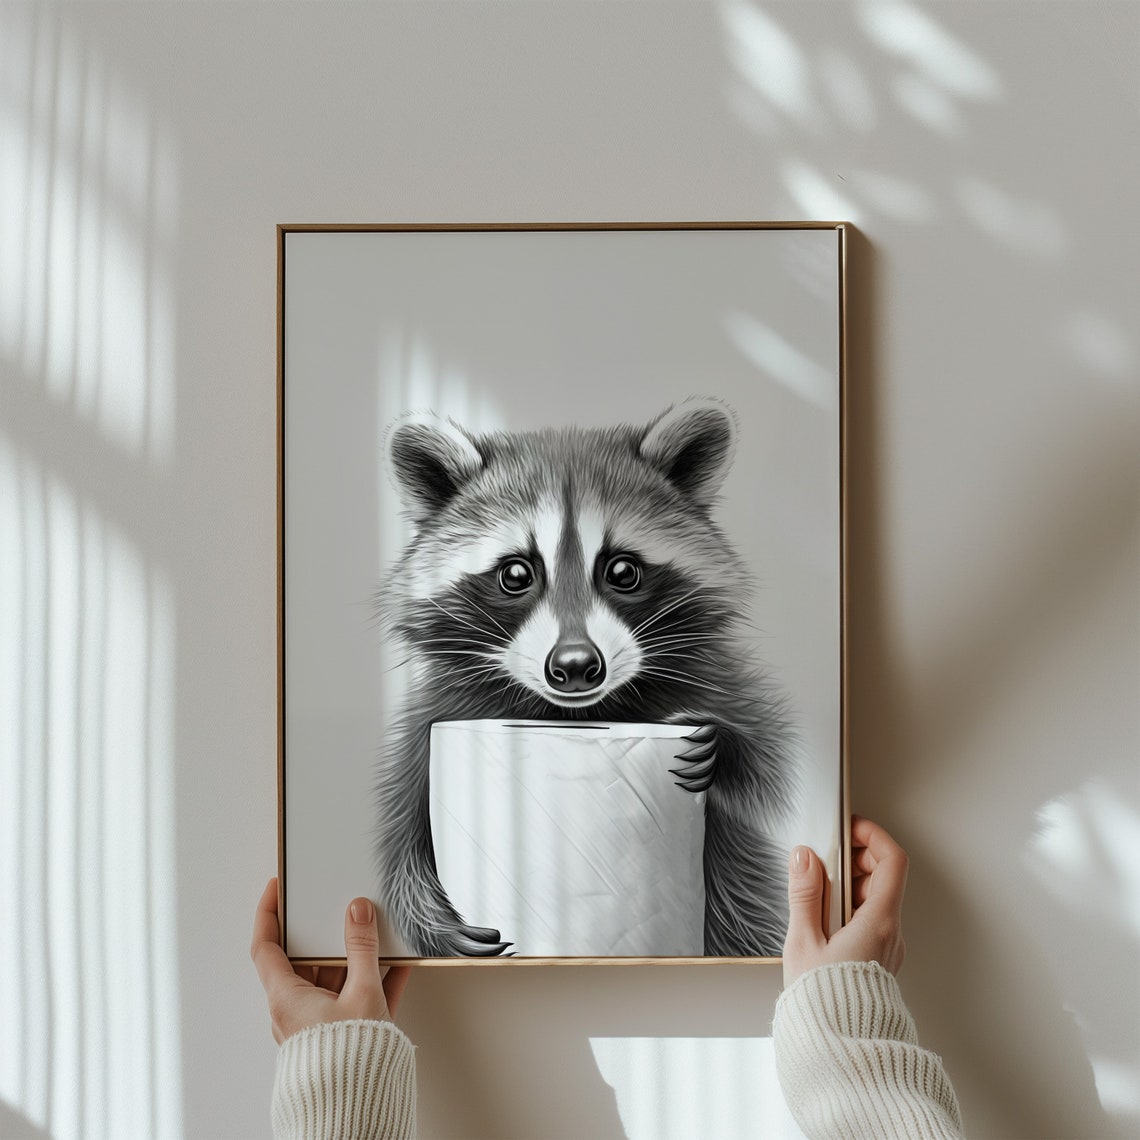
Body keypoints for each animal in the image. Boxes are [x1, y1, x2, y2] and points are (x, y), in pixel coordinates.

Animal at [375, 398, 795, 958]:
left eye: (622, 571)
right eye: (516, 574)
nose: (575, 666)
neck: (573, 713)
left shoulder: (714, 676)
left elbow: (772, 765)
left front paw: (720, 740)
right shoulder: (436, 715)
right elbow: (403, 829)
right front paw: (434, 920)